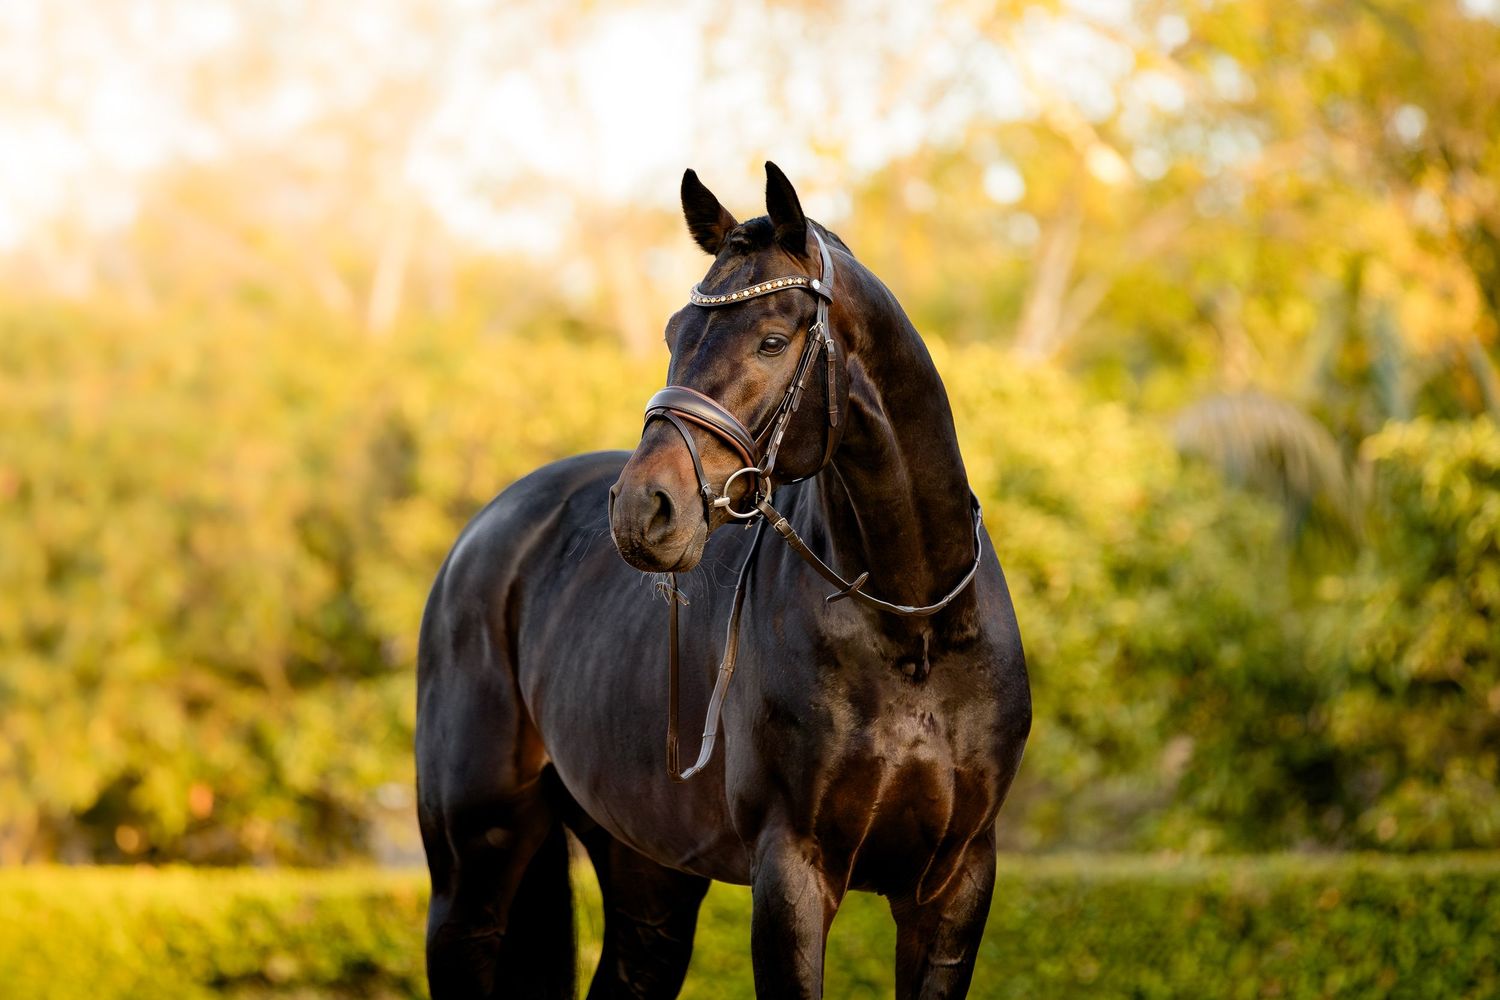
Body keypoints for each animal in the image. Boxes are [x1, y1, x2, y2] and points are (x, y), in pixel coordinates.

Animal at [416, 162, 1031, 999]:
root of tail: (485, 534)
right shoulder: (793, 870)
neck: (912, 628)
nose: (644, 509)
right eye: (676, 334)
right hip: (471, 871)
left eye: (771, 340)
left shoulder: (954, 882)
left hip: (648, 874)